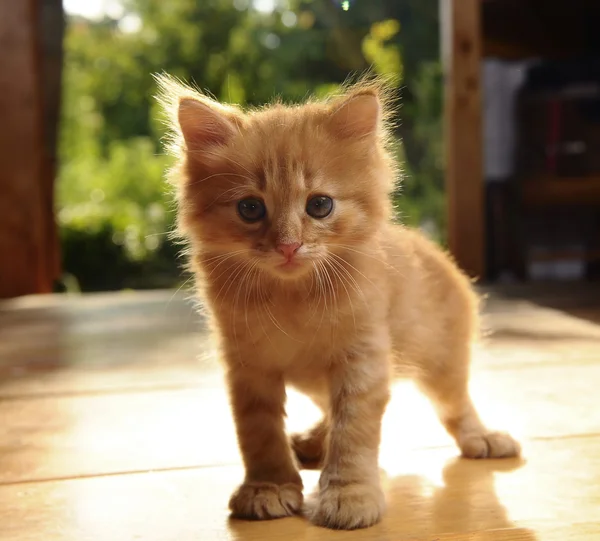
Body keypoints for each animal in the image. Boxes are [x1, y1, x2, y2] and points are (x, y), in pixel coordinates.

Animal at [156, 74, 520, 528]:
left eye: (320, 205)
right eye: (250, 208)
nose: (288, 246)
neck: (292, 299)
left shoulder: (363, 356)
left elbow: (354, 428)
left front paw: (349, 494)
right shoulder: (246, 363)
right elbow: (258, 430)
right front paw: (268, 487)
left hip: (441, 356)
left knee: (455, 403)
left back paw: (481, 437)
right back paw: (313, 441)